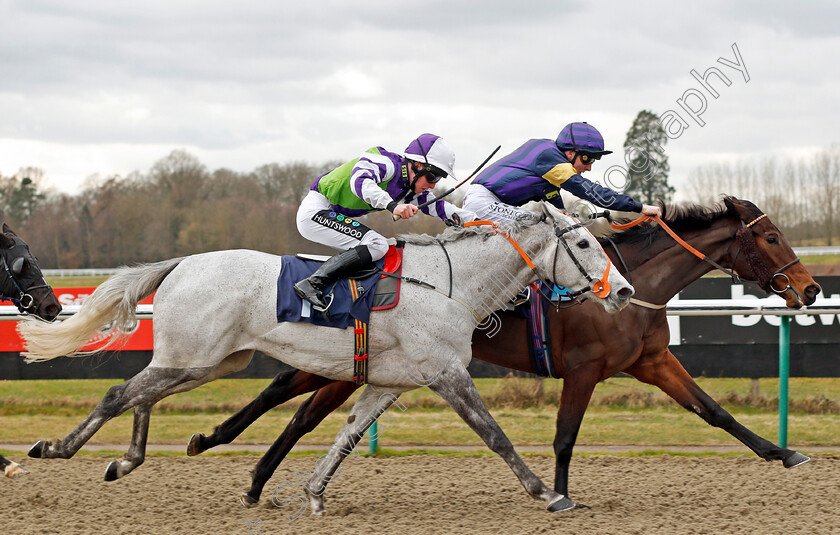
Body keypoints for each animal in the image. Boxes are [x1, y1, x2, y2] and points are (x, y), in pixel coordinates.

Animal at [16, 203, 632, 512]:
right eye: (583, 244)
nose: (623, 291)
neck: (450, 285)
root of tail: (181, 262)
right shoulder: (446, 374)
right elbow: (495, 435)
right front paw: (547, 493)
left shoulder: (390, 383)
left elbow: (347, 436)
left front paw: (312, 494)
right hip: (194, 358)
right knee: (119, 393)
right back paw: (57, 448)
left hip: (208, 361)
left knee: (142, 396)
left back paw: (126, 460)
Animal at [185, 197, 820, 510]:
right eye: (770, 238)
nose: (811, 289)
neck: (635, 284)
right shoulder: (584, 369)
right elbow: (564, 436)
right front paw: (560, 493)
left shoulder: (653, 362)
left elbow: (714, 411)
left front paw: (784, 453)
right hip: (347, 364)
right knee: (289, 401)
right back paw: (219, 448)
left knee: (298, 409)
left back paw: (254, 477)